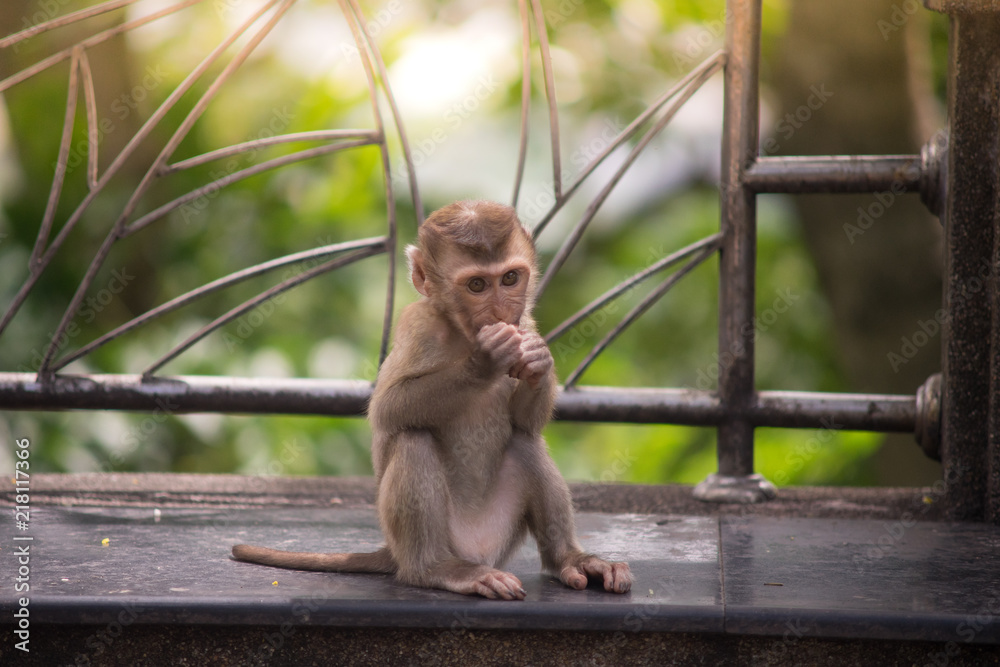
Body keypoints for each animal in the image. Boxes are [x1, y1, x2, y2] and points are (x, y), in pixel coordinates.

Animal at [233, 200, 632, 600]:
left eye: (509, 279)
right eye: (476, 285)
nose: (501, 312)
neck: (461, 333)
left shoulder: (526, 322)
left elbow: (525, 421)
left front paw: (538, 360)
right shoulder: (417, 325)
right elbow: (388, 408)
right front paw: (485, 360)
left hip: (501, 536)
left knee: (525, 442)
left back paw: (570, 559)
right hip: (438, 541)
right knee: (413, 439)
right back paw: (438, 569)